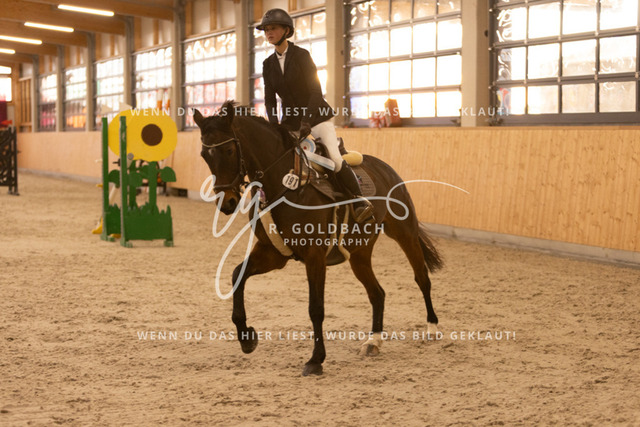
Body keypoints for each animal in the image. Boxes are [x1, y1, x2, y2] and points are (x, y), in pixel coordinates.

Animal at [194, 101, 442, 376]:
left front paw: (315, 360)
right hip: (359, 254)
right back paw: (373, 341)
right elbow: (238, 275)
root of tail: (384, 167)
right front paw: (247, 338)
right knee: (377, 293)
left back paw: (432, 328)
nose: (227, 203)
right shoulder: (273, 253)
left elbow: (316, 308)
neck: (284, 184)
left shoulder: (314, 256)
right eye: (204, 155)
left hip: (404, 233)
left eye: (228, 150)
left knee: (421, 278)